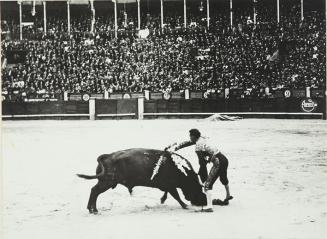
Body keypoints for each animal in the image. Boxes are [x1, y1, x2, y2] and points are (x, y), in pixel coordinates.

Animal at [76, 148, 208, 213]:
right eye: (197, 187)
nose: (204, 202)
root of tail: (107, 155)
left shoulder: (167, 186)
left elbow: (170, 194)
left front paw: (163, 200)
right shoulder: (170, 186)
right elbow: (176, 196)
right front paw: (185, 205)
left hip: (104, 182)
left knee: (94, 191)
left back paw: (92, 209)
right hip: (106, 182)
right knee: (95, 191)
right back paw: (93, 210)